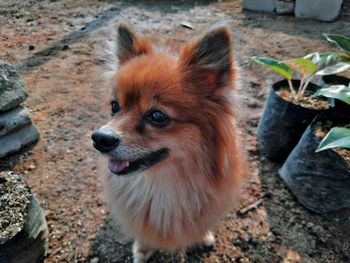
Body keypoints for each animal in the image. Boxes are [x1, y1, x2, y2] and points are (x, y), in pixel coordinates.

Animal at [91, 23, 245, 263]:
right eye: (115, 107)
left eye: (157, 116)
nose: (100, 138)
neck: (162, 185)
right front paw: (143, 249)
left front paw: (202, 236)